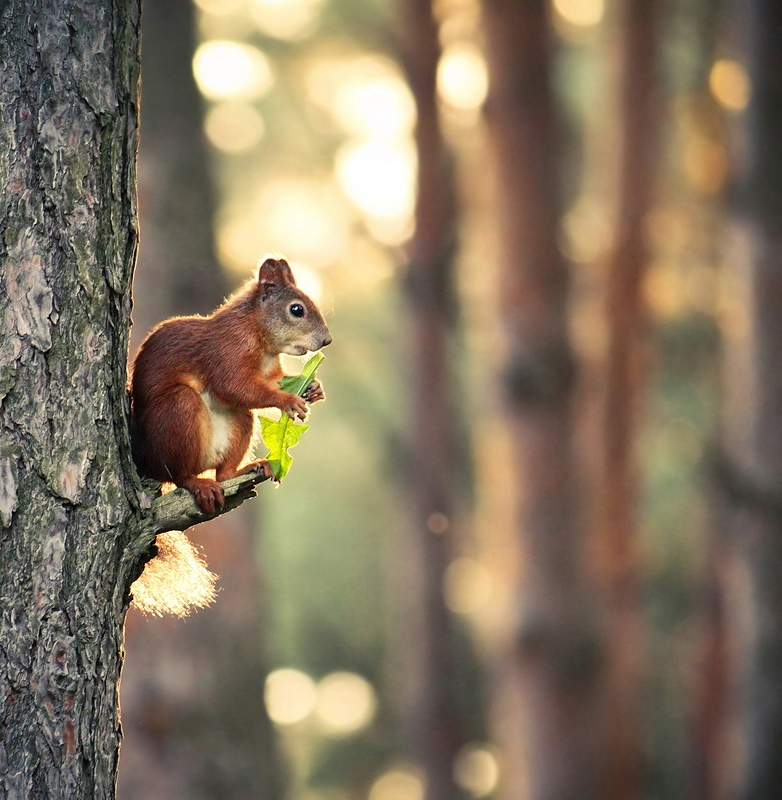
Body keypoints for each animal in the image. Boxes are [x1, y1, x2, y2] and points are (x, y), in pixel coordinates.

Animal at [130, 260, 332, 516]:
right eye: (297, 310)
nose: (327, 340)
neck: (258, 334)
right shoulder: (228, 350)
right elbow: (232, 386)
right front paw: (288, 400)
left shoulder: (268, 371)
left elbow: (274, 380)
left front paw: (314, 388)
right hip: (178, 412)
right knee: (178, 474)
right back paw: (198, 483)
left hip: (239, 421)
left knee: (223, 474)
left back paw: (245, 469)